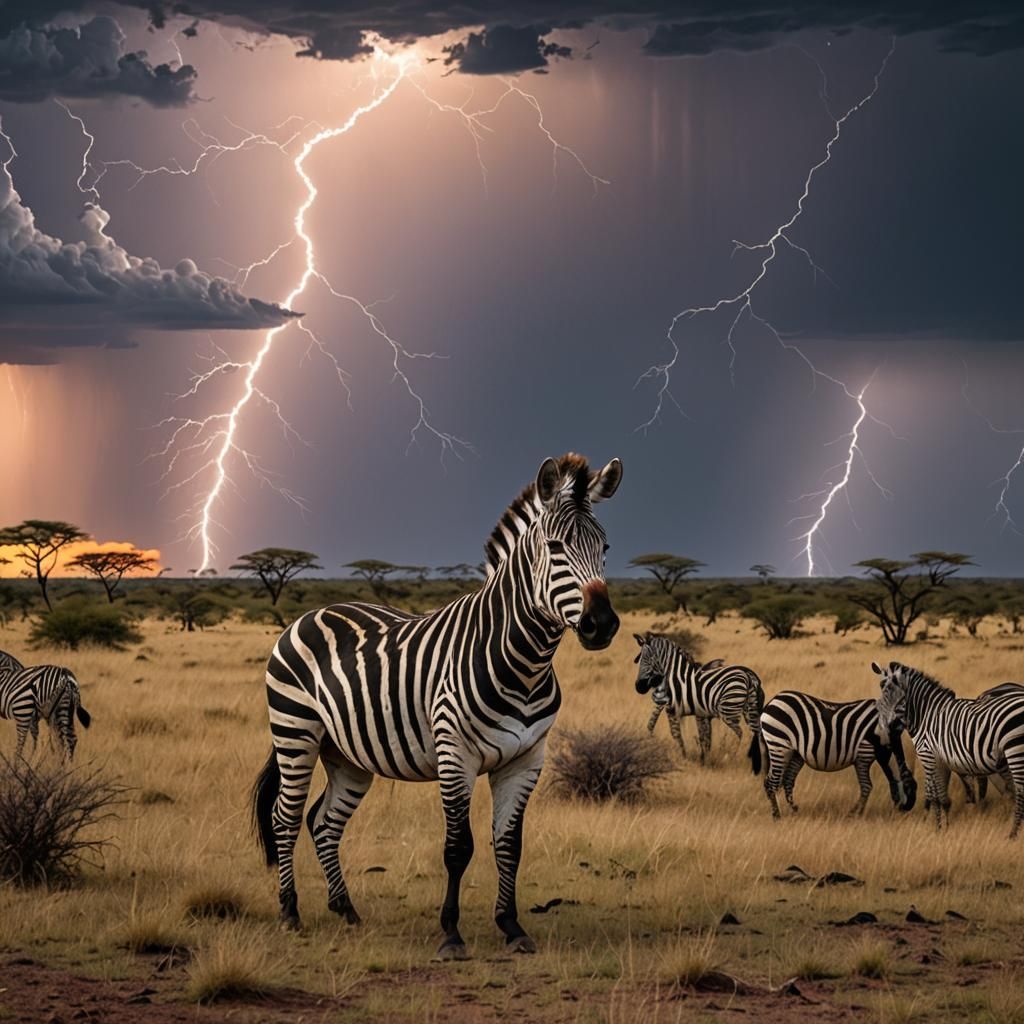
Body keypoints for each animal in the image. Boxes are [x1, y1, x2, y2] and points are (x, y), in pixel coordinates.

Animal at [252, 453, 622, 958]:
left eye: (605, 547)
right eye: (555, 546)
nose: (601, 624)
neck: (524, 664)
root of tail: (312, 613)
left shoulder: (527, 758)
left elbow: (510, 845)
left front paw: (512, 926)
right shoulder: (455, 755)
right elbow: (458, 848)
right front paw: (451, 933)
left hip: (347, 754)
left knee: (323, 821)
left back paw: (345, 908)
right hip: (296, 732)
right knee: (285, 818)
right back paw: (290, 912)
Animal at [633, 634, 763, 770]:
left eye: (646, 659)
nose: (639, 687)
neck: (676, 678)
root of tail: (748, 676)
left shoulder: (672, 709)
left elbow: (676, 733)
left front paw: (684, 756)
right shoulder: (690, 711)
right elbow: (696, 735)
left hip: (729, 709)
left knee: (739, 732)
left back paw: (729, 757)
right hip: (749, 709)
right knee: (755, 733)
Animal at [759, 691, 918, 819]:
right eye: (912, 788)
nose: (906, 812)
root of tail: (772, 701)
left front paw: (856, 812)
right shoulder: (864, 752)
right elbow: (867, 786)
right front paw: (855, 813)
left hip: (794, 753)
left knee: (787, 781)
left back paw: (794, 811)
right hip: (778, 744)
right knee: (771, 782)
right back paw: (777, 816)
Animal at [874, 662, 1024, 837]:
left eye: (888, 689)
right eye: (881, 687)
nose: (882, 731)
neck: (926, 715)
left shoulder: (928, 756)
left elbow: (935, 795)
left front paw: (938, 828)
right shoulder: (942, 760)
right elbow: (942, 796)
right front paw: (945, 827)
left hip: (1015, 750)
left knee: (1019, 793)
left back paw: (1013, 834)